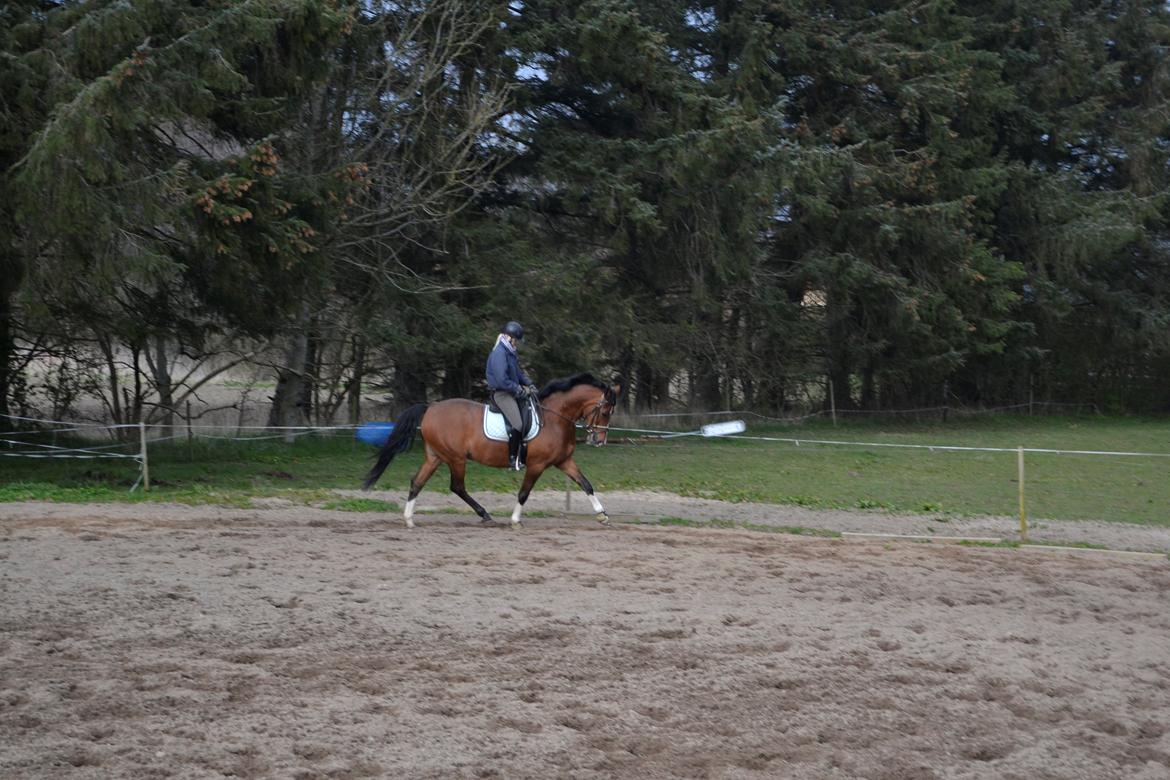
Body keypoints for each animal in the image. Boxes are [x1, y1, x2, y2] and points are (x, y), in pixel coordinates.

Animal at [360, 374, 622, 530]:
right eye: (605, 411)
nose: (599, 441)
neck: (555, 417)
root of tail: (431, 407)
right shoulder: (537, 465)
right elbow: (524, 493)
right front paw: (515, 520)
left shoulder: (564, 461)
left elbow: (586, 484)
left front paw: (602, 515)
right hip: (455, 458)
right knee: (457, 486)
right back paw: (483, 514)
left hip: (435, 457)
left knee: (417, 482)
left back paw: (409, 519)